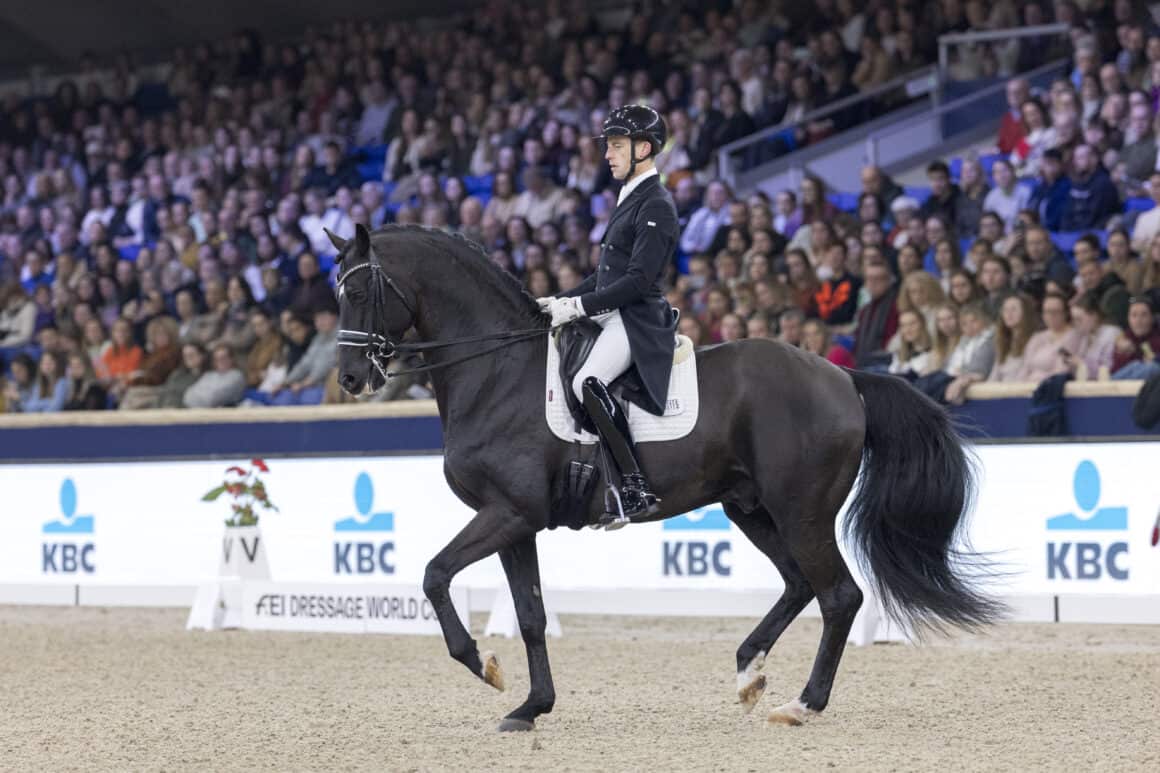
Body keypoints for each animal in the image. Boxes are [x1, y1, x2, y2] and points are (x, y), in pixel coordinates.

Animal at [331, 221, 1002, 728]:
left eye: (359, 292)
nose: (350, 379)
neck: (497, 369)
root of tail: (845, 377)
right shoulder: (516, 522)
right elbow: (530, 616)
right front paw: (530, 706)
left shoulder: (508, 513)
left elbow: (434, 575)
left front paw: (482, 664)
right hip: (750, 507)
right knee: (798, 585)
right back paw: (748, 671)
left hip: (801, 509)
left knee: (839, 595)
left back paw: (802, 704)